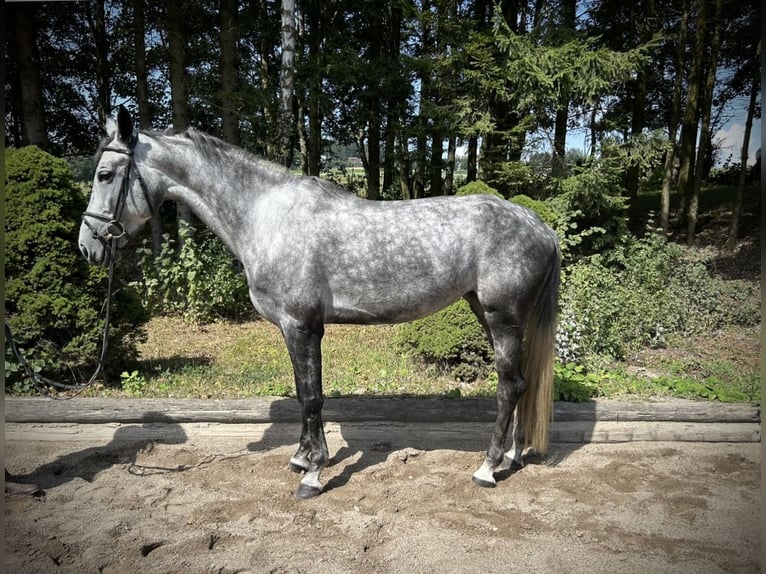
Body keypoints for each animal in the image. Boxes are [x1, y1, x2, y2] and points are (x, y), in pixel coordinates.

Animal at [79, 107, 560, 500]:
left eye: (105, 174)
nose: (88, 246)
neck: (267, 215)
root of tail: (538, 225)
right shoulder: (293, 329)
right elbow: (301, 393)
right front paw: (302, 456)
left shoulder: (302, 325)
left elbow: (312, 396)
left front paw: (312, 474)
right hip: (488, 312)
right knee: (522, 384)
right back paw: (513, 456)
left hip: (502, 318)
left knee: (510, 386)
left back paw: (488, 467)